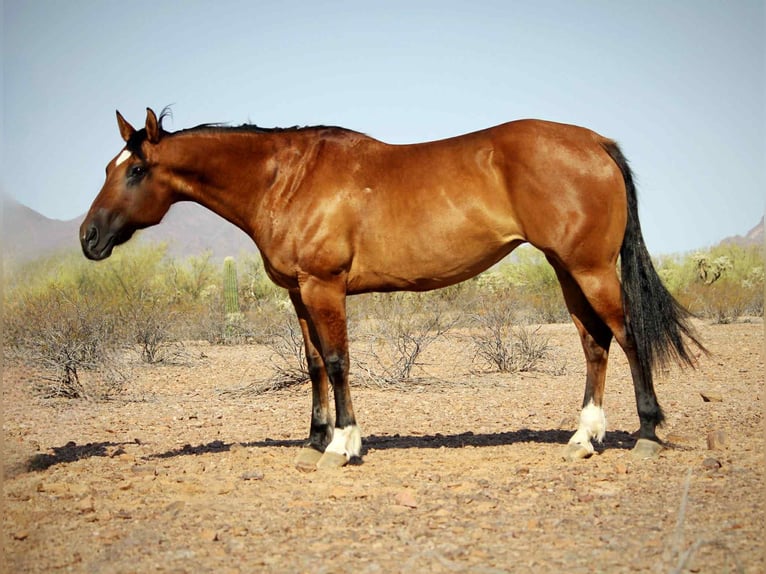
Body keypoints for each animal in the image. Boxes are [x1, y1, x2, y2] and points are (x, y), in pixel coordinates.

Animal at [81, 107, 704, 470]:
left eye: (135, 171)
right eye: (109, 168)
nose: (89, 237)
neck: (286, 178)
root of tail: (596, 142)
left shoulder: (324, 287)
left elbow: (337, 361)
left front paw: (342, 444)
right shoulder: (297, 292)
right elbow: (313, 363)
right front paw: (315, 437)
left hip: (590, 268)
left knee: (628, 335)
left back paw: (647, 433)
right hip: (566, 268)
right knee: (594, 342)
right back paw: (584, 437)